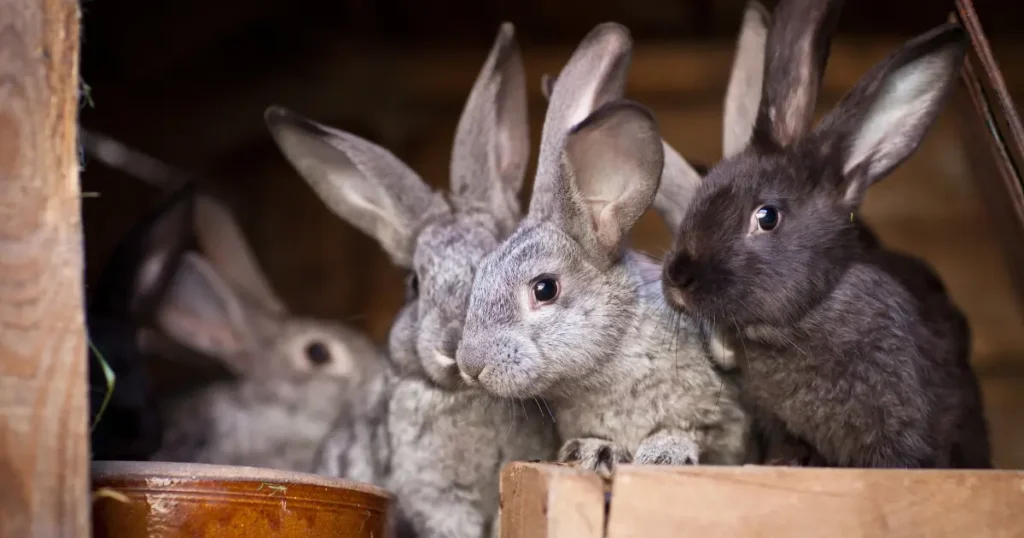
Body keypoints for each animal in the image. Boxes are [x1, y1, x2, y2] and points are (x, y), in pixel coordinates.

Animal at [456, 21, 753, 475]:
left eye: (545, 289)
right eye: (482, 269)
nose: (470, 365)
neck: (611, 358)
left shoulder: (721, 419)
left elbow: (692, 430)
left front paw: (663, 452)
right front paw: (591, 451)